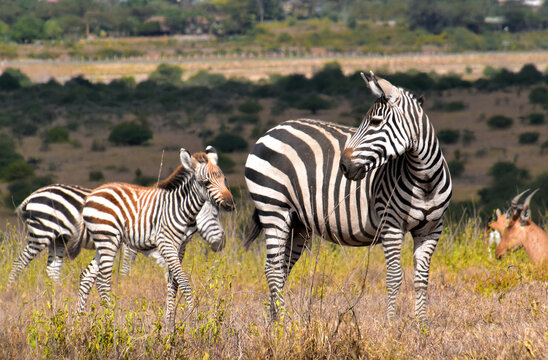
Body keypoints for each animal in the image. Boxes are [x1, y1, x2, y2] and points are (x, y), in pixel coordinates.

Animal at [6, 184, 225, 286]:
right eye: (215, 215)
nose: (222, 243)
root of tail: (32, 196)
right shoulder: (131, 243)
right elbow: (127, 266)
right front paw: (126, 284)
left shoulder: (148, 244)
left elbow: (164, 264)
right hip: (42, 233)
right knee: (19, 263)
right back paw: (10, 289)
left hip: (58, 238)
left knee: (52, 269)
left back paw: (59, 292)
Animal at [67, 145, 234, 324]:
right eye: (206, 182)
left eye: (225, 179)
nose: (231, 204)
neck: (181, 207)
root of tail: (91, 196)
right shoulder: (165, 242)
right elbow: (183, 280)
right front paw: (193, 318)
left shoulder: (181, 246)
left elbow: (173, 282)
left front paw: (169, 322)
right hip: (107, 238)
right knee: (103, 281)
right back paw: (111, 321)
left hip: (104, 240)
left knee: (87, 276)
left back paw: (78, 320)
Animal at [246, 73, 452, 324]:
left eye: (375, 122)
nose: (344, 166)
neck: (425, 181)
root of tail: (272, 130)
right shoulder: (391, 224)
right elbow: (394, 277)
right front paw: (390, 324)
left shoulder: (431, 229)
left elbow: (422, 280)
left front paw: (421, 325)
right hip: (273, 207)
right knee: (273, 269)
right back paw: (283, 323)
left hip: (298, 223)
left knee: (281, 268)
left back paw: (273, 320)